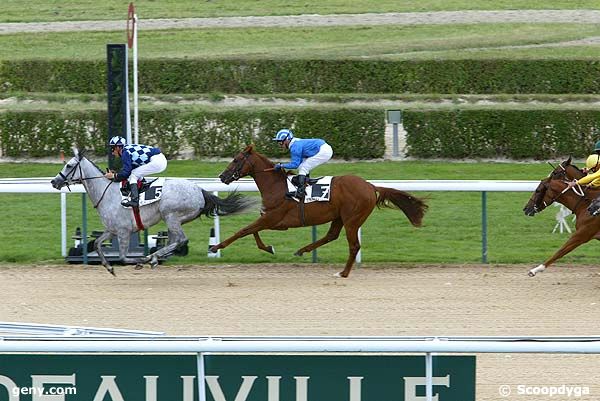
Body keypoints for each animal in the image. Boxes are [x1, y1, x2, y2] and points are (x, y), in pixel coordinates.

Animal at [51, 149, 255, 276]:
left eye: (69, 165)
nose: (54, 181)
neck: (107, 193)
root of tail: (200, 191)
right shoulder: (112, 230)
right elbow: (97, 244)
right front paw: (109, 267)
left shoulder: (124, 232)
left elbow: (123, 257)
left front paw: (140, 260)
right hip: (173, 220)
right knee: (174, 241)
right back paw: (155, 257)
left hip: (171, 215)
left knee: (181, 240)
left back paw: (151, 258)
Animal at [209, 145, 428, 278]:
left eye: (236, 159)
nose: (222, 177)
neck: (277, 186)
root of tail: (370, 186)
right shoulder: (271, 219)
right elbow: (252, 232)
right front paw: (269, 248)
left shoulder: (273, 219)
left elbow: (244, 231)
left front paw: (215, 247)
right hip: (339, 217)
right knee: (331, 235)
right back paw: (302, 250)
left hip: (352, 219)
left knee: (354, 246)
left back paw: (343, 273)